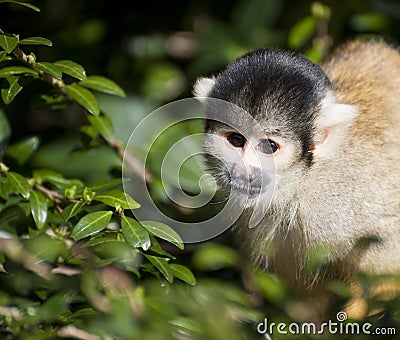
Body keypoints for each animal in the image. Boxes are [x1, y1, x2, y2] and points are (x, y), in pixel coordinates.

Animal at [194, 40, 400, 322]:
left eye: (269, 146)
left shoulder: (346, 203)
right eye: (236, 140)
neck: (300, 183)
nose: (244, 171)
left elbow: (386, 268)